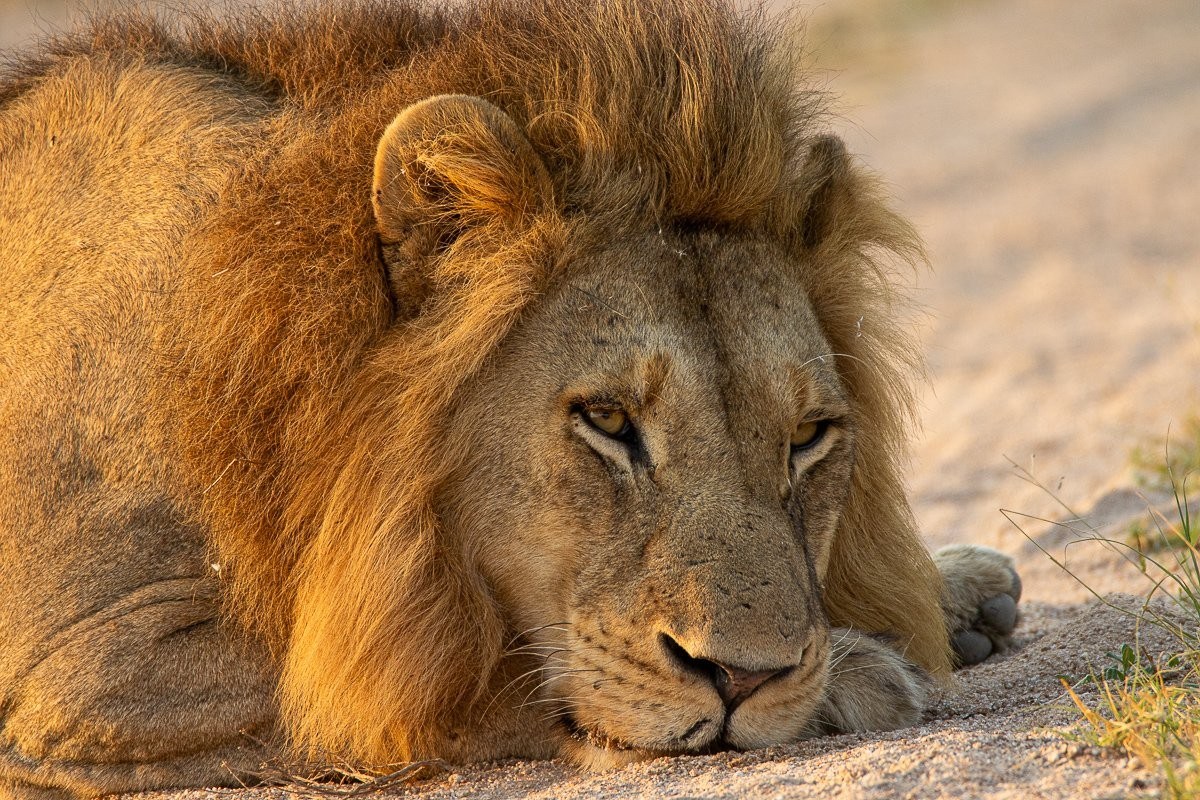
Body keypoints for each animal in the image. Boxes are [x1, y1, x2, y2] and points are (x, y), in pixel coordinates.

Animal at [0, 1, 1022, 797]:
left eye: (809, 435)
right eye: (607, 420)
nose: (747, 674)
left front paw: (950, 590)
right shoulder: (82, 673)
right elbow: (431, 673)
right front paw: (863, 669)